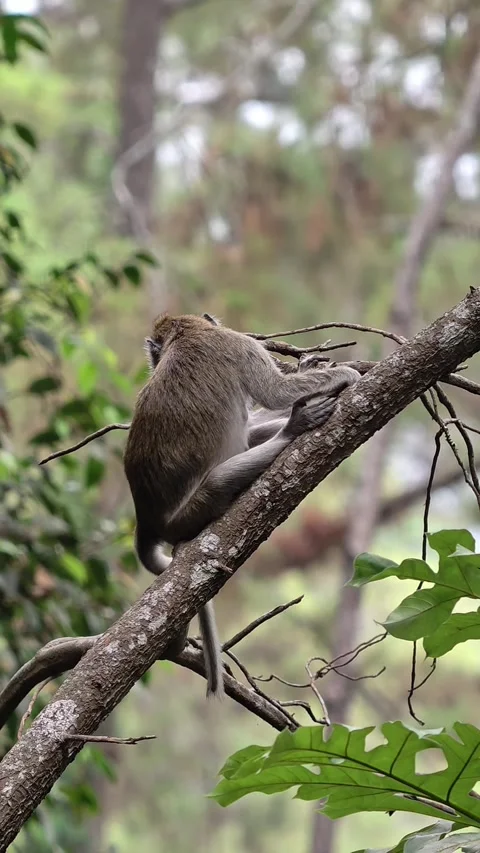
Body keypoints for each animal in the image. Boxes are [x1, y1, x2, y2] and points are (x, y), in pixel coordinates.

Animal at [123, 314, 360, 698]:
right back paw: (292, 430)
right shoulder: (240, 344)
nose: (152, 364)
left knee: (250, 434)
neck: (187, 332)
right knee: (222, 477)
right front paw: (344, 376)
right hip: (190, 512)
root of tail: (147, 519)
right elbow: (276, 391)